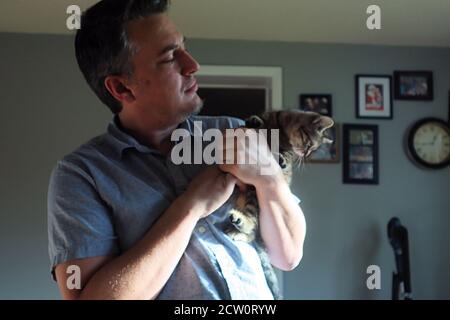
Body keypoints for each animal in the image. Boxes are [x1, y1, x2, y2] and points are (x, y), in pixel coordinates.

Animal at [225, 109, 334, 298]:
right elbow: (261, 121)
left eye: (312, 149)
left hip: (254, 196)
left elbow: (284, 155)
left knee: (253, 225)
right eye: (309, 144)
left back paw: (240, 223)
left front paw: (281, 159)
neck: (281, 128)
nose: (304, 154)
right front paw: (255, 120)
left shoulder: (287, 153)